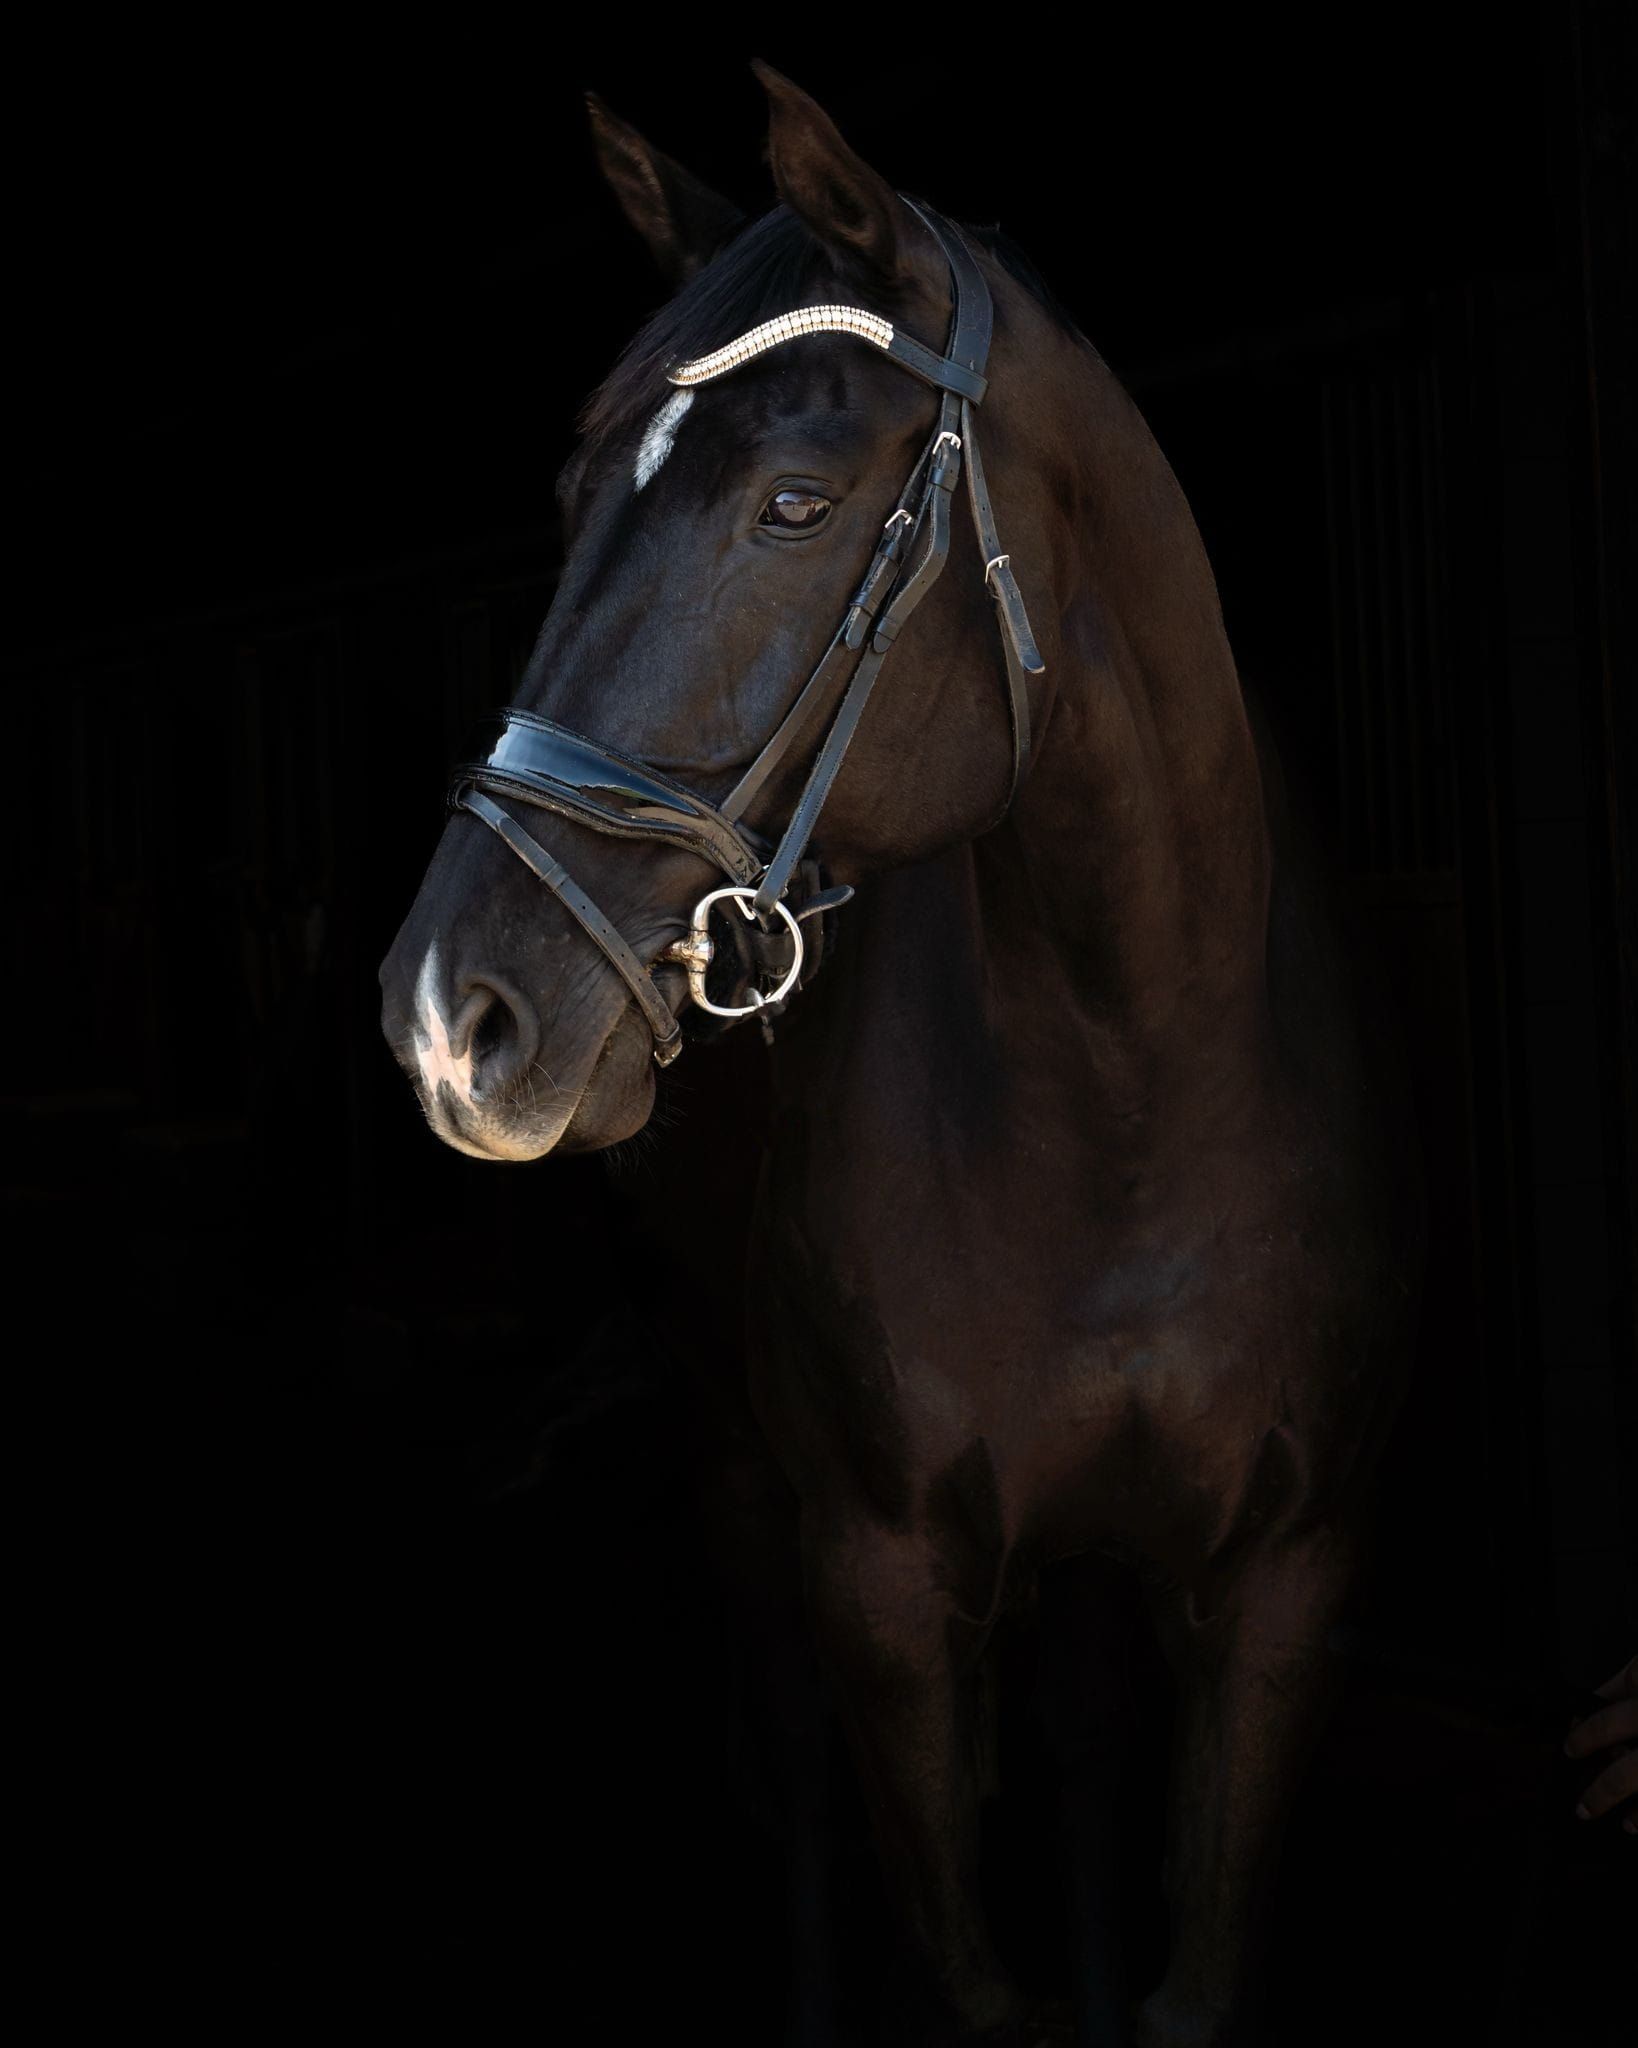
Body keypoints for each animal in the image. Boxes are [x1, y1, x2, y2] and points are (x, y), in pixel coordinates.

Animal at [379, 63, 1423, 2047]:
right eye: (569, 495)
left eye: (793, 503)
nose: (447, 1020)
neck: (1131, 1073)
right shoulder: (876, 1585)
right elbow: (956, 1967)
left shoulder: (1284, 1583)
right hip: (735, 1462)